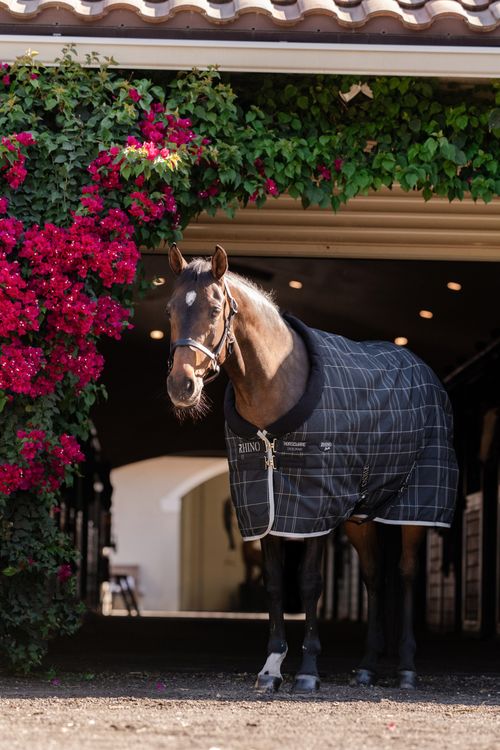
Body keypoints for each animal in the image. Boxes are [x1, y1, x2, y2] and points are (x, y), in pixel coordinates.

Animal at [166, 244, 458, 693]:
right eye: (170, 309)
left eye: (215, 309)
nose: (182, 386)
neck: (276, 387)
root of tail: (424, 370)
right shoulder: (265, 507)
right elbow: (273, 583)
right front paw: (271, 668)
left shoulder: (314, 508)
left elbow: (308, 583)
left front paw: (307, 671)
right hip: (360, 516)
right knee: (374, 577)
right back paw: (367, 667)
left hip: (415, 508)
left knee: (406, 574)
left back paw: (407, 668)